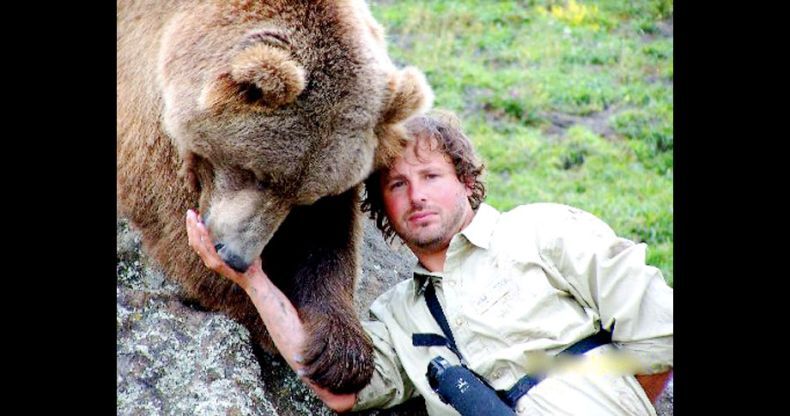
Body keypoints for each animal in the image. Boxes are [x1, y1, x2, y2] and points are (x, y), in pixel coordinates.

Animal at [119, 0, 434, 394]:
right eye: (257, 173)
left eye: (305, 200)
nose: (235, 257)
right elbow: (171, 215)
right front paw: (266, 318)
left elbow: (330, 236)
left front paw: (339, 349)